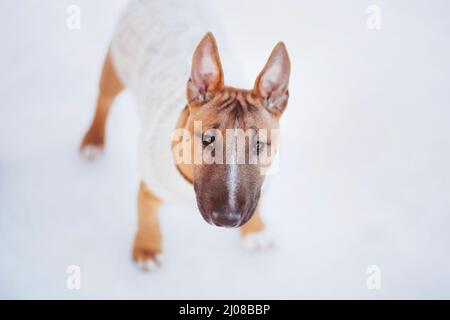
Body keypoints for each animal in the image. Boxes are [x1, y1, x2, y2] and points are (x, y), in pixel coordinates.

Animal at [80, 0, 292, 272]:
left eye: (259, 144)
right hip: (117, 62)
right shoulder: (149, 187)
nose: (227, 219)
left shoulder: (261, 187)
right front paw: (147, 249)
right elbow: (147, 216)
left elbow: (257, 201)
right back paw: (93, 140)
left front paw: (255, 231)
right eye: (207, 139)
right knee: (103, 100)